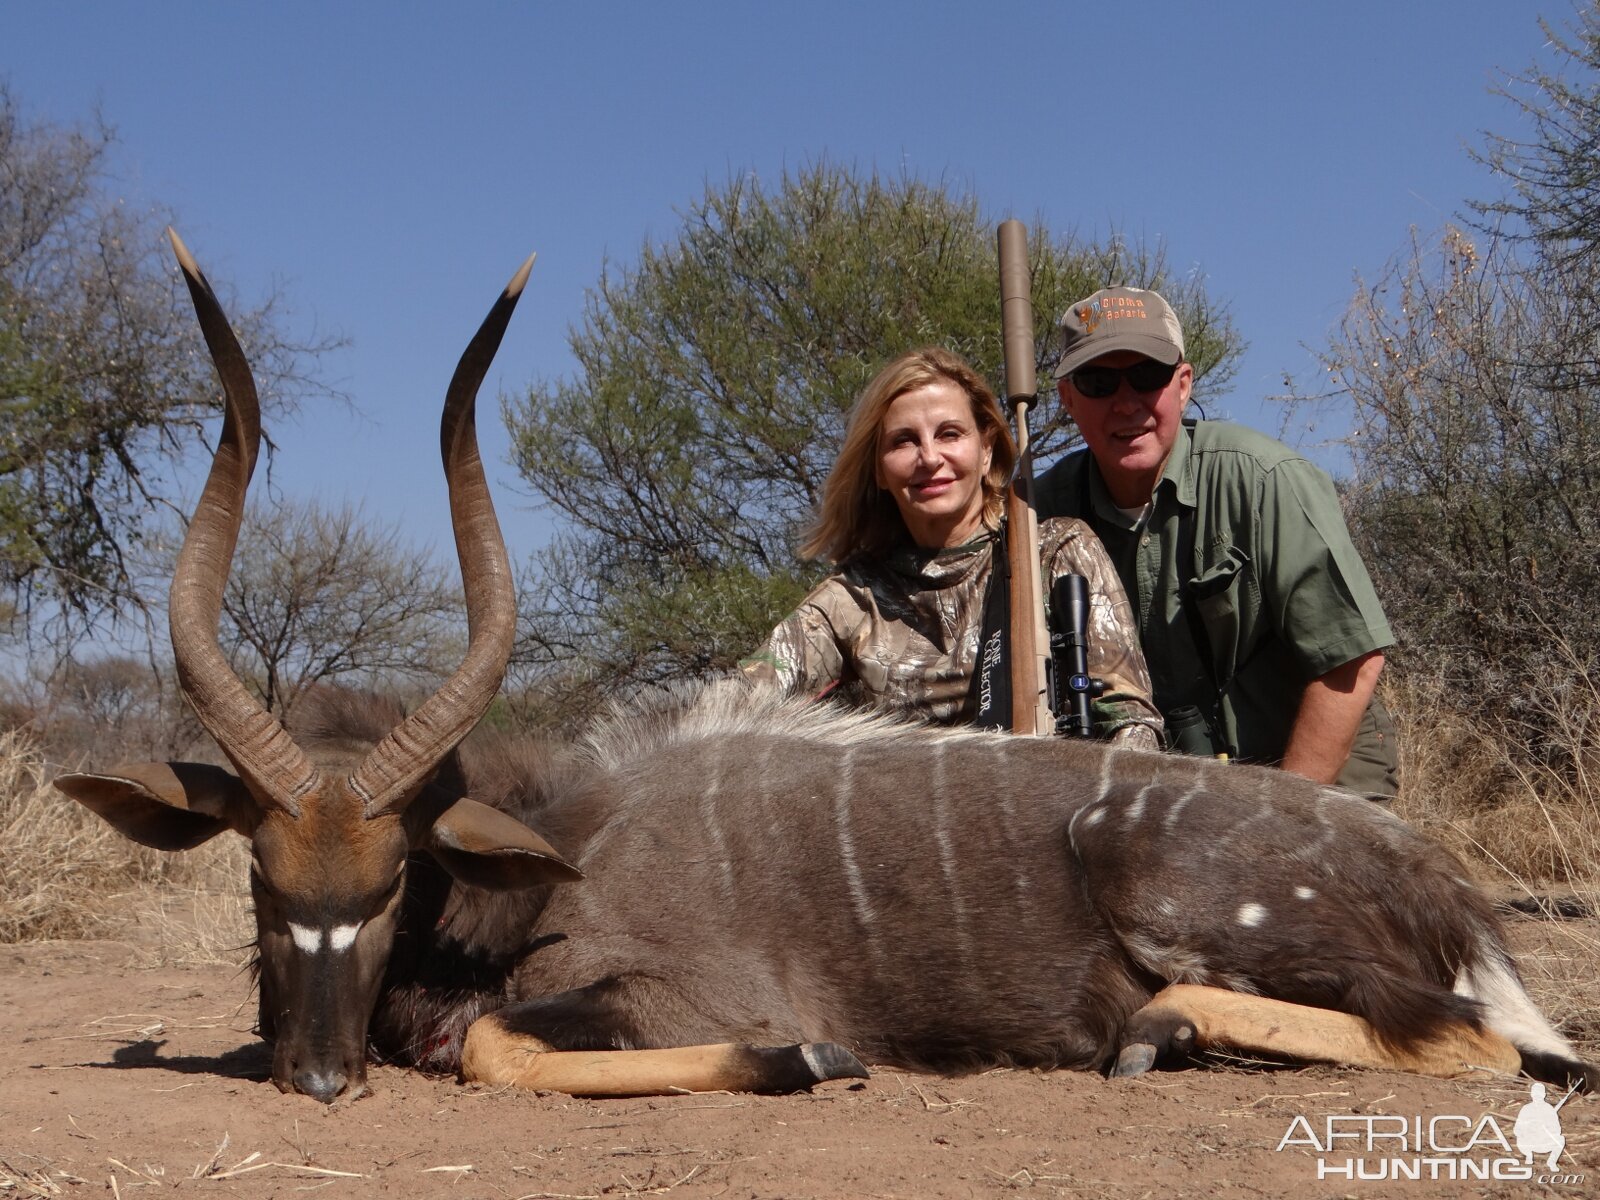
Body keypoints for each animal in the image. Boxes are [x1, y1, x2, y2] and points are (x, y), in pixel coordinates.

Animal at [50, 230, 1587, 1107]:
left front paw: (810, 1057)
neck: (558, 852)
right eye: (260, 879)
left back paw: (1155, 1034)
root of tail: (1450, 896)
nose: (317, 1076)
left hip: (1204, 909)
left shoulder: (673, 993)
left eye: (387, 883)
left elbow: (495, 1045)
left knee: (1499, 1045)